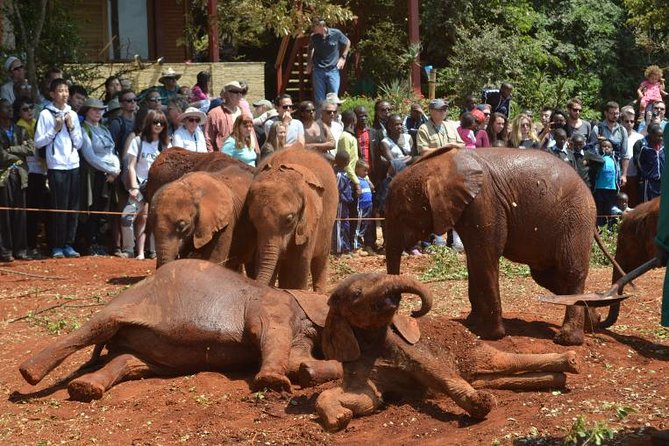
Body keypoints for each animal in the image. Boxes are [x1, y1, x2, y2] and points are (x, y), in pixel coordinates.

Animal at [315, 273, 579, 432]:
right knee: (499, 375)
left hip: (473, 349)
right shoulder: (359, 361)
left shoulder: (412, 349)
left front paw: (481, 405)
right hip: (481, 372)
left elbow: (439, 374)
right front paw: (340, 419)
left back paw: (571, 361)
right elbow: (368, 400)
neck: (374, 341)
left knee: (504, 360)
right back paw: (559, 378)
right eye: (356, 294)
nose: (413, 310)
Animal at [385, 147, 601, 346]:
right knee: (548, 276)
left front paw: (489, 335)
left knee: (570, 273)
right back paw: (593, 323)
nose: (411, 313)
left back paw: (567, 339)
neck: (443, 164)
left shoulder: (484, 202)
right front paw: (471, 323)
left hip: (576, 219)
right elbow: (474, 260)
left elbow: (485, 257)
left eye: (401, 215)